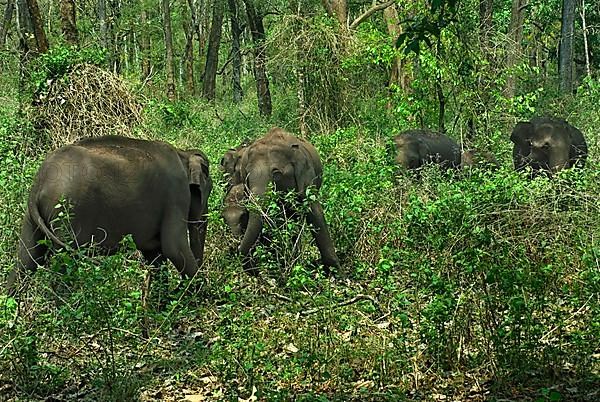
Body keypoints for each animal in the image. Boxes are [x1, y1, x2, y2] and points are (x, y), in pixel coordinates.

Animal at [7, 135, 212, 296]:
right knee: (64, 265)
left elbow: (155, 254)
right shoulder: (176, 195)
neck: (183, 153)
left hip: (33, 218)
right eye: (207, 193)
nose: (178, 290)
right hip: (67, 214)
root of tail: (39, 184)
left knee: (26, 261)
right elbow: (173, 247)